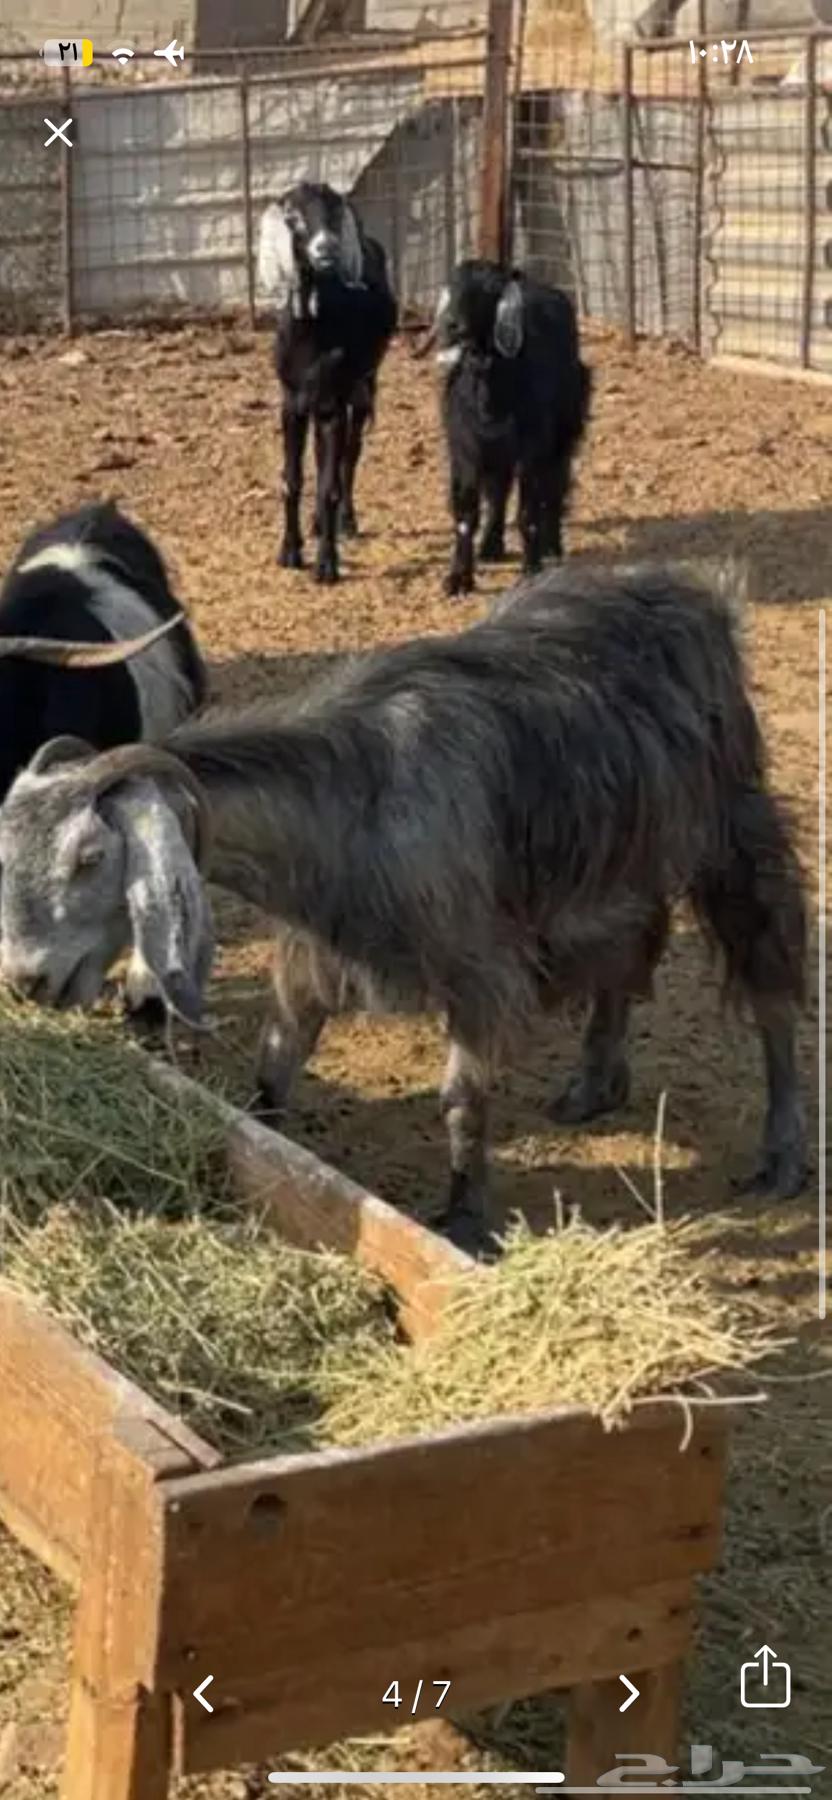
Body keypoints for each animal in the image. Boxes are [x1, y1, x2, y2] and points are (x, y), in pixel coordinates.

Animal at [0, 563, 807, 1253]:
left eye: (90, 856)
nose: (26, 980)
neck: (354, 800)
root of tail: (697, 593)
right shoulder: (311, 959)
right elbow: (274, 1068)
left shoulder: (481, 972)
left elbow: (461, 1100)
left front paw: (466, 1222)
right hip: (614, 862)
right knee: (631, 945)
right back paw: (593, 1086)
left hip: (732, 830)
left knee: (769, 980)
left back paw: (782, 1156)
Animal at [257, 181, 398, 584]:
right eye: (293, 215)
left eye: (334, 210)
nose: (326, 250)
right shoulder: (292, 404)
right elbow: (293, 479)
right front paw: (289, 552)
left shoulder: (331, 404)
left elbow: (330, 484)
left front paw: (326, 565)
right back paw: (319, 524)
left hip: (363, 387)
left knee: (349, 456)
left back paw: (345, 522)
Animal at [432, 259, 591, 596]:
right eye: (453, 284)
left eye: (491, 289)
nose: (452, 325)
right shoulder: (465, 449)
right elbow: (466, 514)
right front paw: (458, 577)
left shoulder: (532, 448)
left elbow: (529, 511)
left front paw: (531, 569)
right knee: (499, 490)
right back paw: (491, 546)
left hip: (563, 433)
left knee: (554, 487)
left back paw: (551, 548)